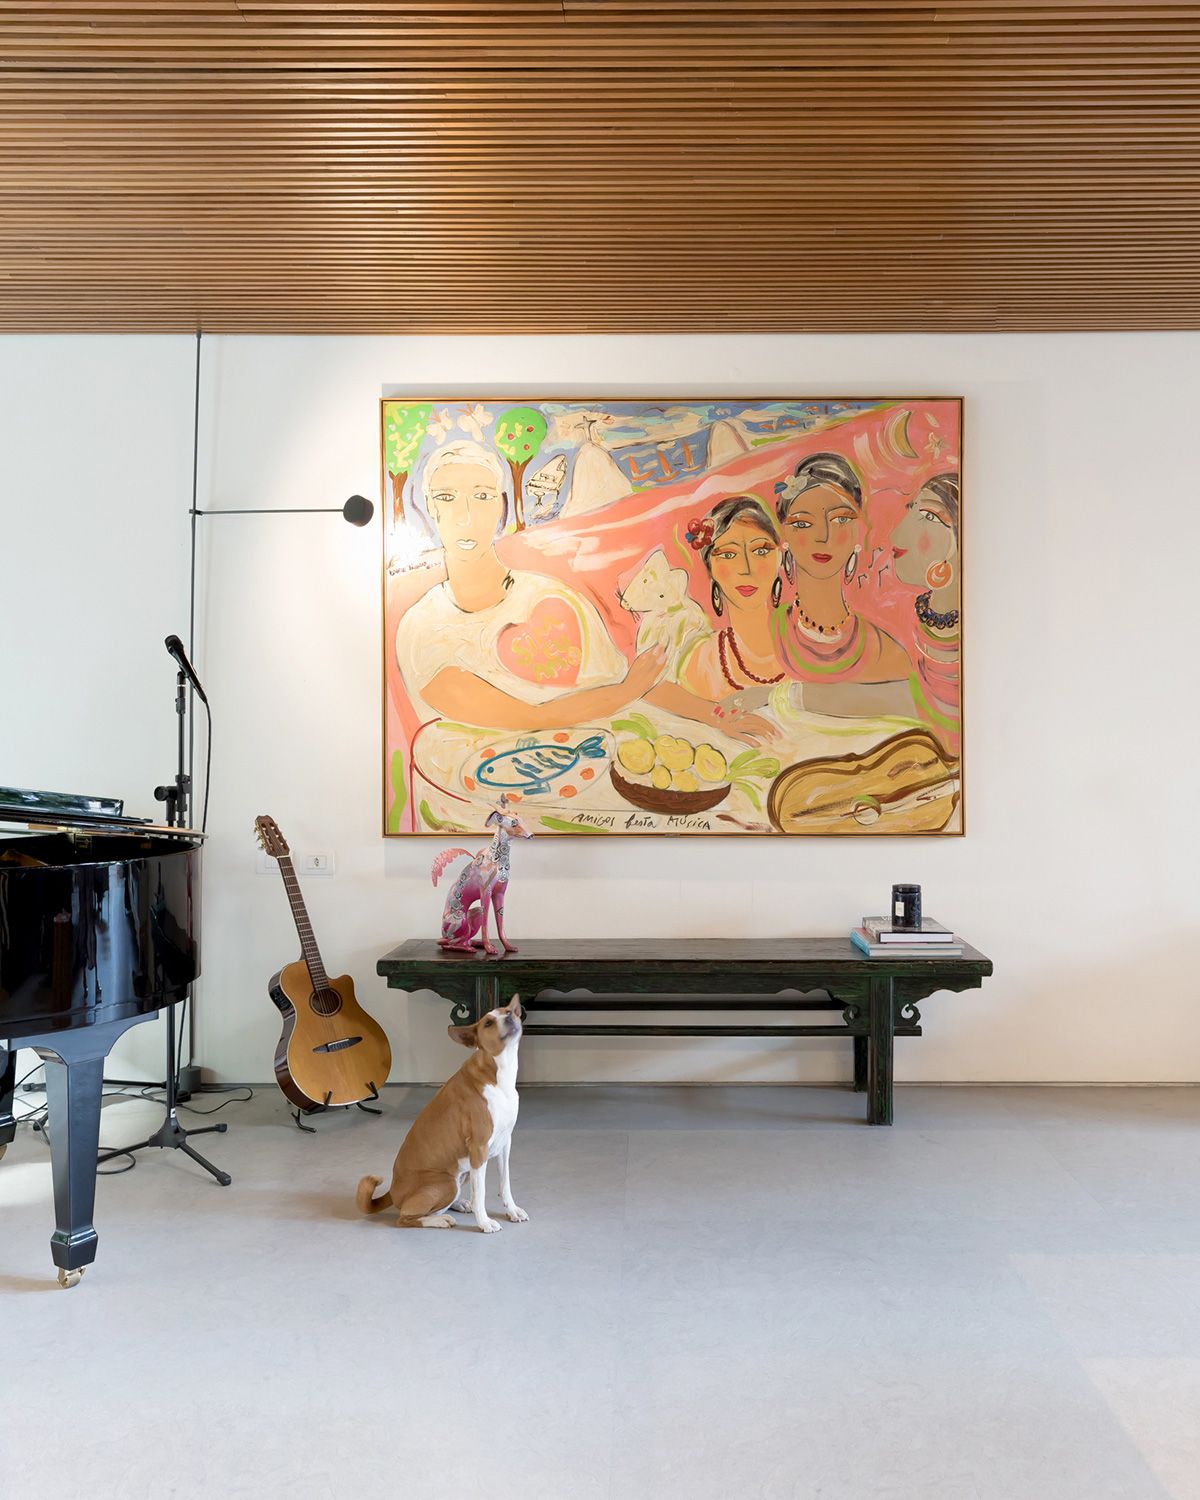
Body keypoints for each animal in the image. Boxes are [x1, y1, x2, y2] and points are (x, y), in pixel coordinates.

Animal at [356, 994, 527, 1233]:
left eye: (509, 1012)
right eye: (488, 1023)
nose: (510, 1018)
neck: (498, 1074)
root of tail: (392, 1191)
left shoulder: (505, 1143)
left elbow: (505, 1183)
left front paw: (512, 1210)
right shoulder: (479, 1149)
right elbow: (481, 1193)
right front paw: (484, 1222)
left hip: (462, 1174)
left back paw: (459, 1204)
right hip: (446, 1182)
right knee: (406, 1217)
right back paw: (440, 1219)